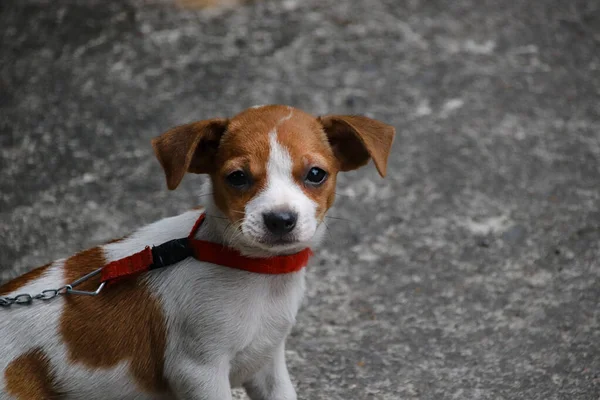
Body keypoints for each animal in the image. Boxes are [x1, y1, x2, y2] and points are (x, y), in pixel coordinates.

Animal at [0, 104, 396, 398]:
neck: (252, 271)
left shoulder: (268, 366)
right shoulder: (198, 372)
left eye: (316, 174)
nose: (280, 219)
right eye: (237, 177)